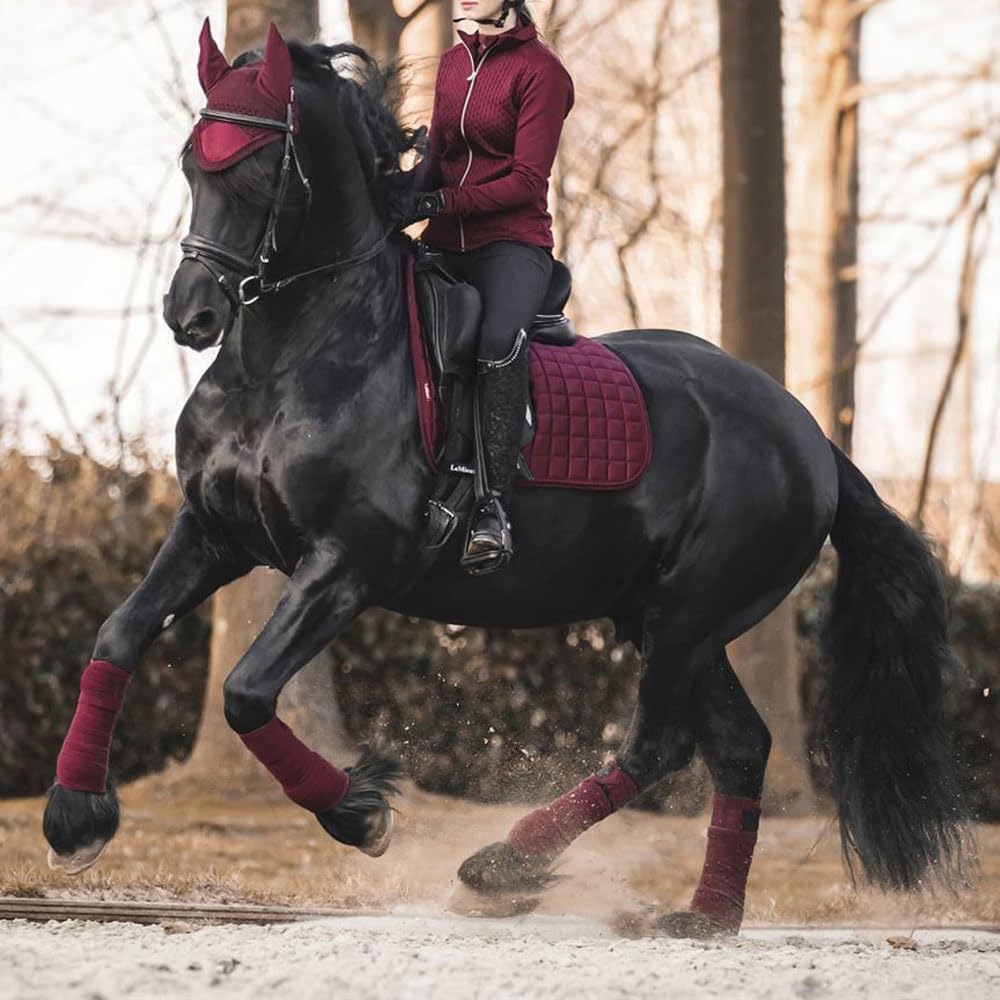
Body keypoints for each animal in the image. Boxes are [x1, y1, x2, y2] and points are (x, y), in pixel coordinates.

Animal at [43, 22, 967, 937]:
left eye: (262, 168)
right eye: (192, 163)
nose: (190, 314)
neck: (293, 355)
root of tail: (809, 435)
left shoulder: (345, 566)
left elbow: (244, 693)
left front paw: (362, 814)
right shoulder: (212, 534)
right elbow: (117, 636)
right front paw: (75, 817)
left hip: (691, 615)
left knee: (659, 746)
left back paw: (500, 867)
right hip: (664, 615)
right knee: (739, 747)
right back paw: (702, 916)